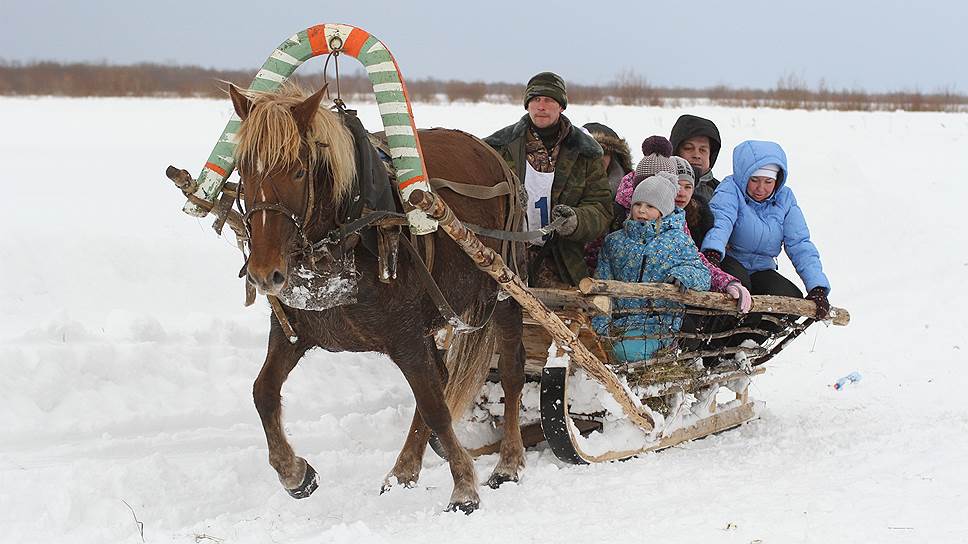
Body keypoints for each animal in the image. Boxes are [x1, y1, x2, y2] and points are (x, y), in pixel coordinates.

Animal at [228, 82, 525, 513]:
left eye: (298, 170)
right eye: (244, 169)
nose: (264, 273)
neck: (347, 234)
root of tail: (491, 152)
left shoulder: (406, 335)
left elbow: (435, 407)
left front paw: (464, 488)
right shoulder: (292, 331)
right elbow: (263, 392)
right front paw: (295, 473)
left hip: (502, 288)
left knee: (513, 372)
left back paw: (508, 464)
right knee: (441, 379)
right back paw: (403, 471)